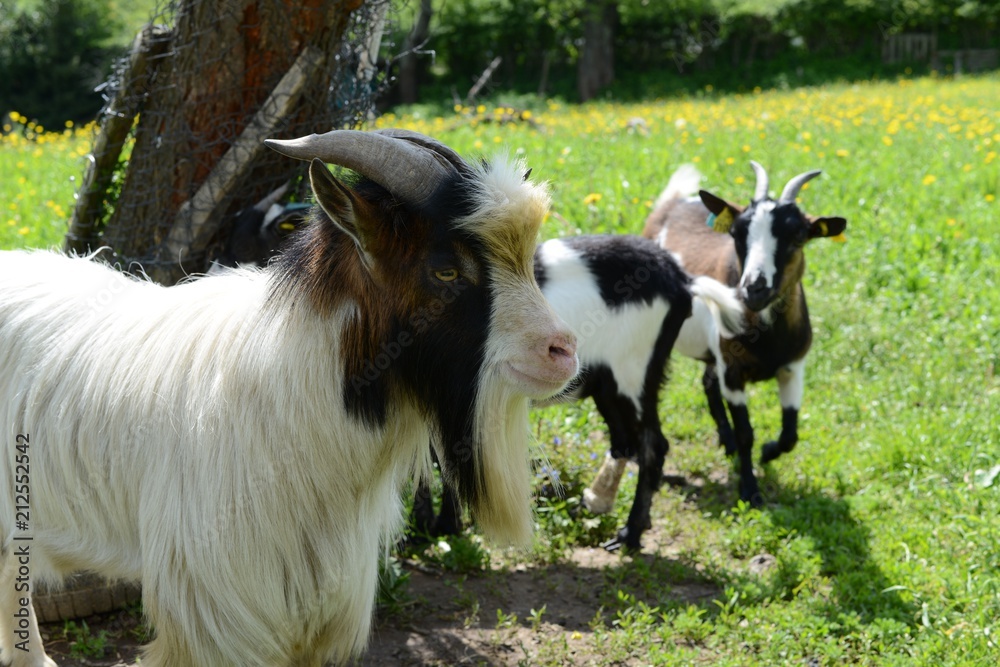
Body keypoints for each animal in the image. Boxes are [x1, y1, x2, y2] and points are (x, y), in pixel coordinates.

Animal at [411, 234, 743, 552]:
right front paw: (422, 527)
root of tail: (681, 278)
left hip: (634, 369)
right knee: (624, 441)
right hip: (609, 384)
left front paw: (443, 527)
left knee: (652, 445)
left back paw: (629, 534)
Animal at [639, 161, 847, 506]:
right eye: (737, 233)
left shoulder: (793, 368)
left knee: (708, 382)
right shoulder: (733, 372)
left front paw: (767, 452)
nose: (754, 289)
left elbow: (790, 434)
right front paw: (750, 489)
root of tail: (673, 204)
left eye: (798, 236)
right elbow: (746, 432)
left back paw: (726, 441)